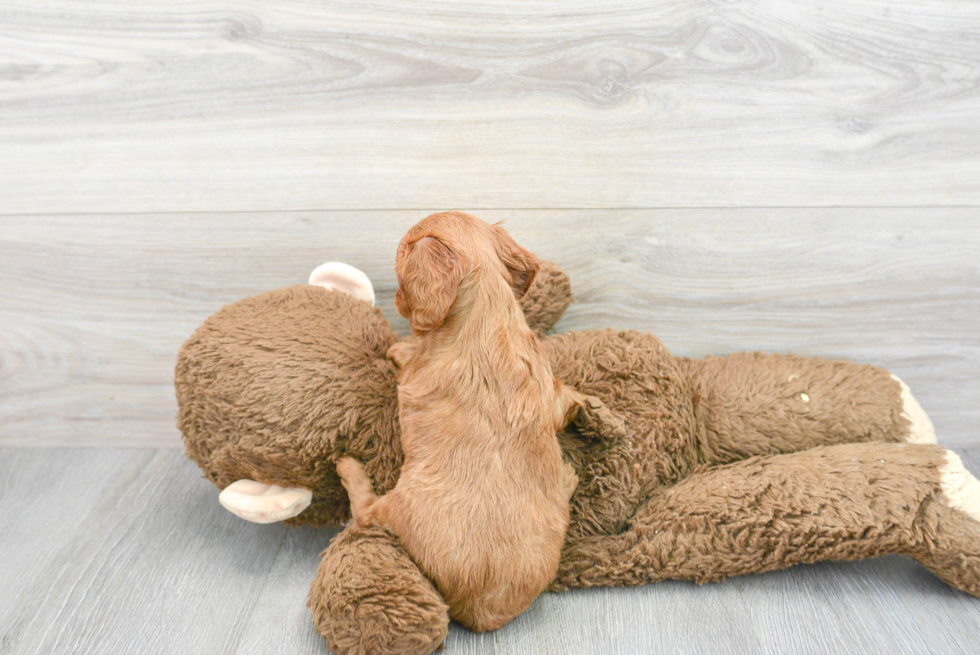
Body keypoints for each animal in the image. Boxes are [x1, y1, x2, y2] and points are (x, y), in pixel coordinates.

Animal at [334, 213, 588, 632]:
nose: (397, 302)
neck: (487, 315)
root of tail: (477, 608)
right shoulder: (548, 386)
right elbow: (563, 399)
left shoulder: (410, 375)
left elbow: (405, 356)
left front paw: (399, 346)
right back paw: (567, 478)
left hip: (394, 508)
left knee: (365, 512)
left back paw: (349, 467)